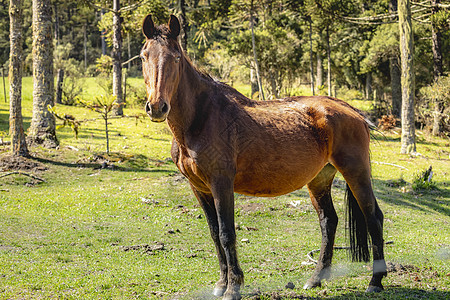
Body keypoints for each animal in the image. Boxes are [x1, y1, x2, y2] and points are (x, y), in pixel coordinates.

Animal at [142, 14, 386, 300]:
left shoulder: (221, 183)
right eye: (144, 56)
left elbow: (226, 234)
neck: (201, 118)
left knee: (373, 218)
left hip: (356, 172)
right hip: (319, 179)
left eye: (176, 57)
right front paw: (221, 284)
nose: (157, 107)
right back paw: (315, 279)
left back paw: (375, 281)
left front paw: (233, 287)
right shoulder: (199, 187)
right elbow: (214, 233)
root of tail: (352, 111)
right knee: (329, 221)